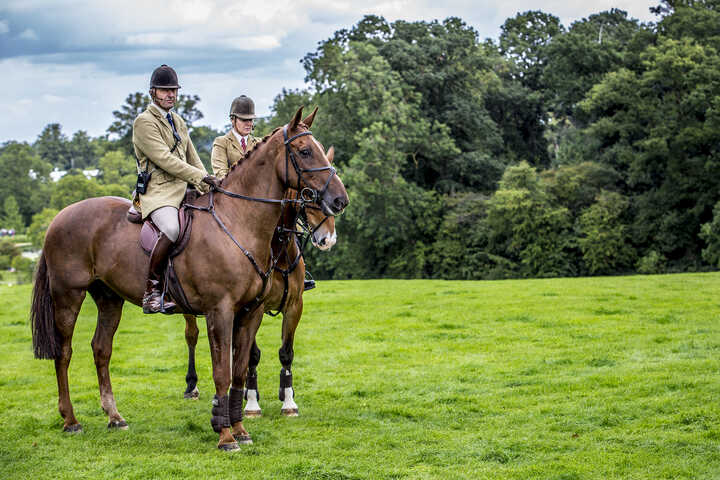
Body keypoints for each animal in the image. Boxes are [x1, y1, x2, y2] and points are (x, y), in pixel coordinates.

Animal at [180, 148, 338, 418]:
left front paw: (288, 399)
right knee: (192, 336)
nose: (328, 239)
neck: (279, 249)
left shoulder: (294, 306)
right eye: (309, 195)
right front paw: (252, 403)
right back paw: (193, 386)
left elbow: (286, 353)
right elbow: (252, 356)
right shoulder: (254, 305)